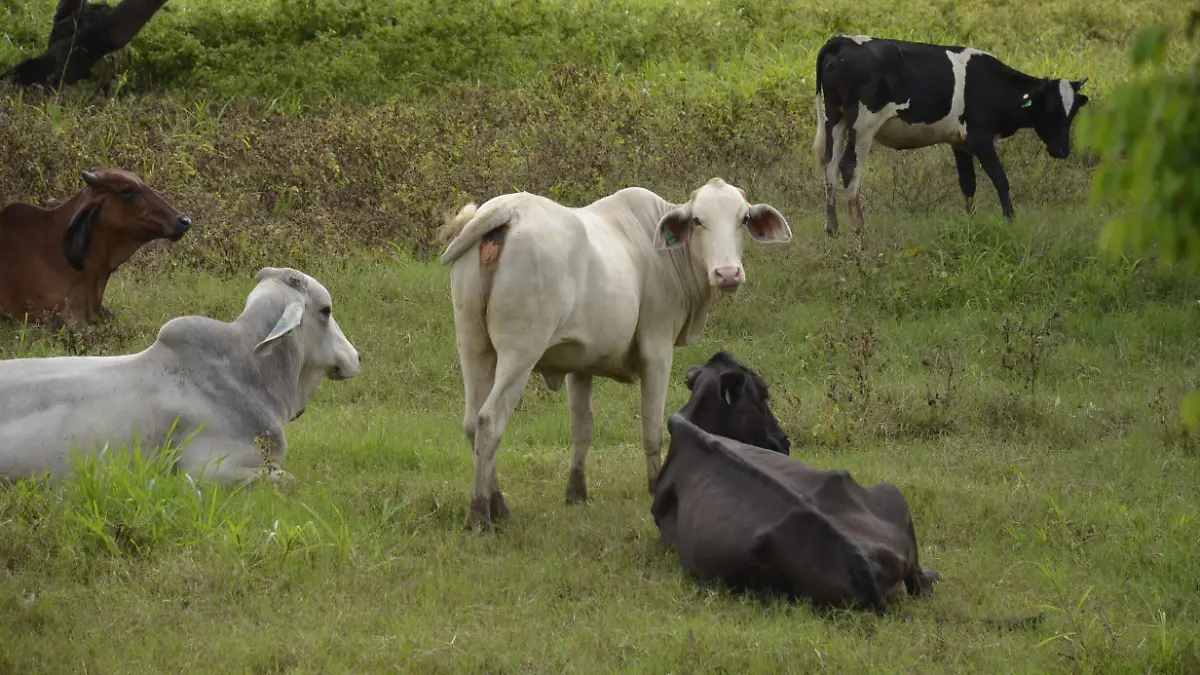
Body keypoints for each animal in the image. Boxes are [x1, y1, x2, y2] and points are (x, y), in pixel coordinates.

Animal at [436, 176, 792, 528]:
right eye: (697, 221)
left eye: (743, 219)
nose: (728, 273)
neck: (665, 255)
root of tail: (509, 210)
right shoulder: (657, 352)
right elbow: (652, 429)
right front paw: (655, 486)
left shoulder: (579, 364)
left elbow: (582, 429)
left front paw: (576, 493)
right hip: (520, 351)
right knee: (489, 421)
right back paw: (480, 514)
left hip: (473, 345)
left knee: (472, 422)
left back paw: (498, 505)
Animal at [816, 34, 1089, 234]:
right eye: (1051, 109)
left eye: (1074, 110)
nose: (1062, 151)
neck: (993, 85)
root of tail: (845, 40)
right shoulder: (981, 139)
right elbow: (1001, 179)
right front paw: (1010, 220)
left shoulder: (959, 143)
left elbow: (968, 183)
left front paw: (970, 223)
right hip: (863, 125)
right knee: (849, 166)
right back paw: (858, 229)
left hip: (835, 119)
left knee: (829, 165)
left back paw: (832, 228)